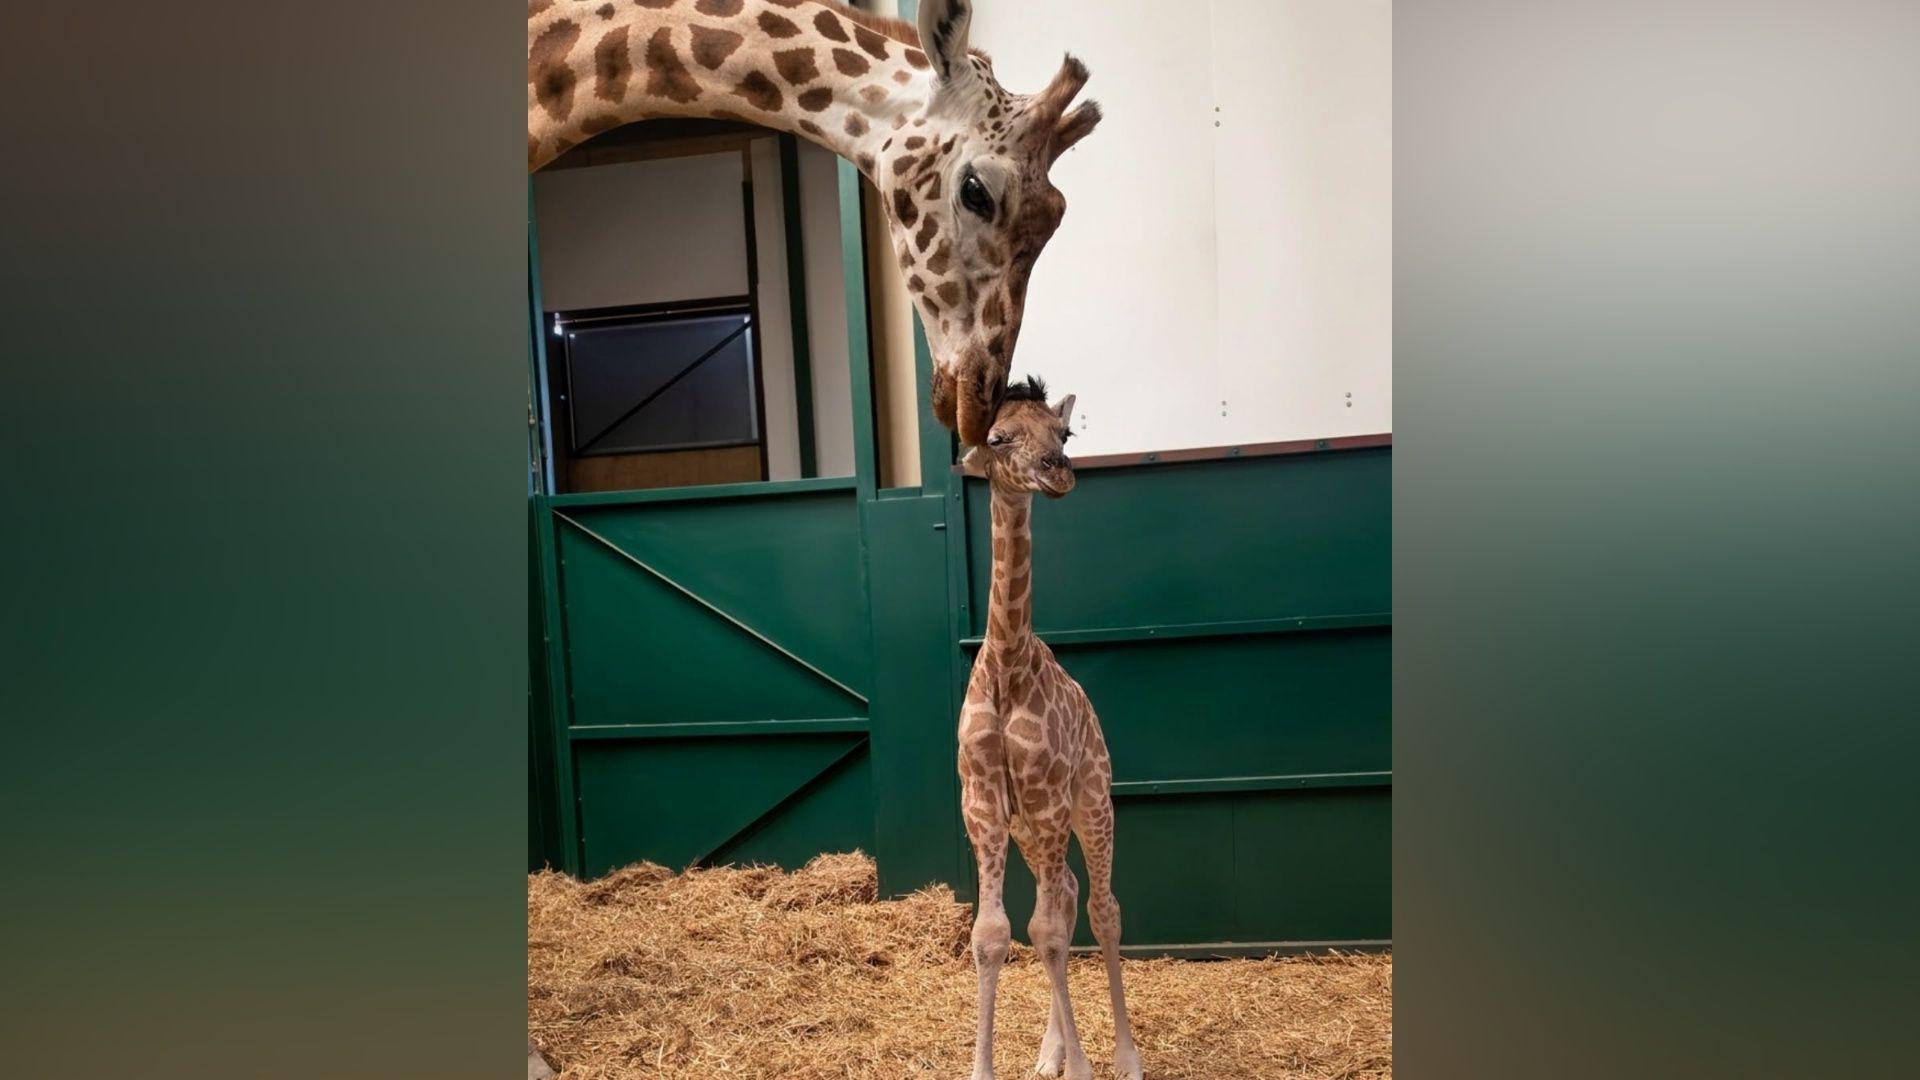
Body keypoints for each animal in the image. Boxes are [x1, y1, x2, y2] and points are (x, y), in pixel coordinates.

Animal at [956, 376, 1140, 1080]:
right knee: (1059, 896)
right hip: (1034, 829)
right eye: (998, 436)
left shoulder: (1048, 796)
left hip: (1090, 801)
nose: (1057, 470)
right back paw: (1050, 1052)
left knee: (1100, 908)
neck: (1008, 662)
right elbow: (996, 935)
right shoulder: (983, 801)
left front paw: (1087, 1067)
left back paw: (1125, 1057)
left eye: (1064, 433)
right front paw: (995, 1067)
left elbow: (1051, 932)